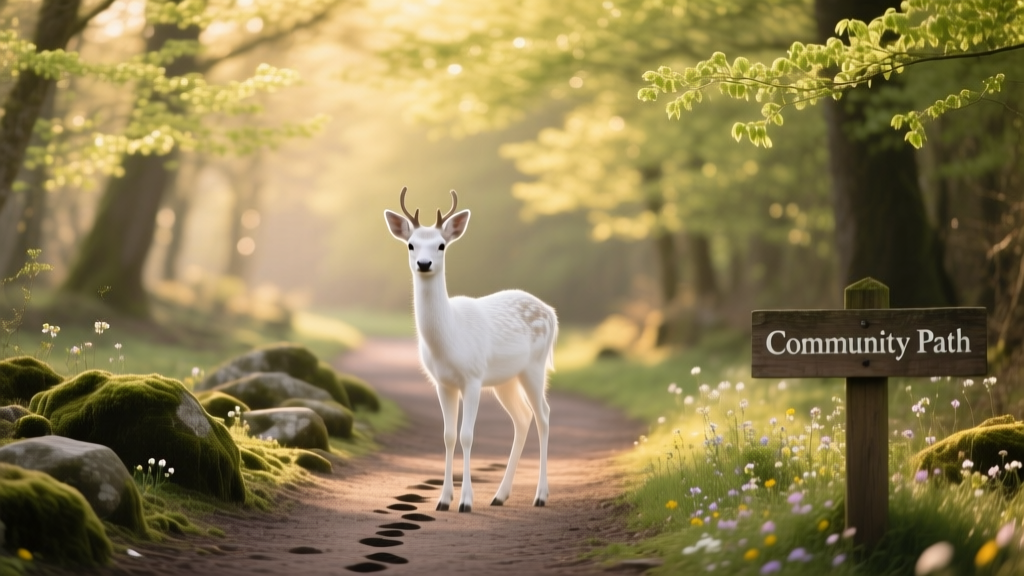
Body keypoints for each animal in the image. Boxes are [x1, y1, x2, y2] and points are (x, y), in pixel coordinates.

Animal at [384, 187, 557, 513]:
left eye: (441, 245)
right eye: (411, 245)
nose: (423, 264)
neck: (450, 339)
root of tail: (552, 313)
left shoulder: (473, 378)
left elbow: (467, 436)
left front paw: (465, 501)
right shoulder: (443, 383)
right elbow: (448, 436)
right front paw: (443, 500)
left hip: (535, 366)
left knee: (543, 415)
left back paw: (540, 496)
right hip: (505, 379)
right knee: (522, 417)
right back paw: (499, 495)